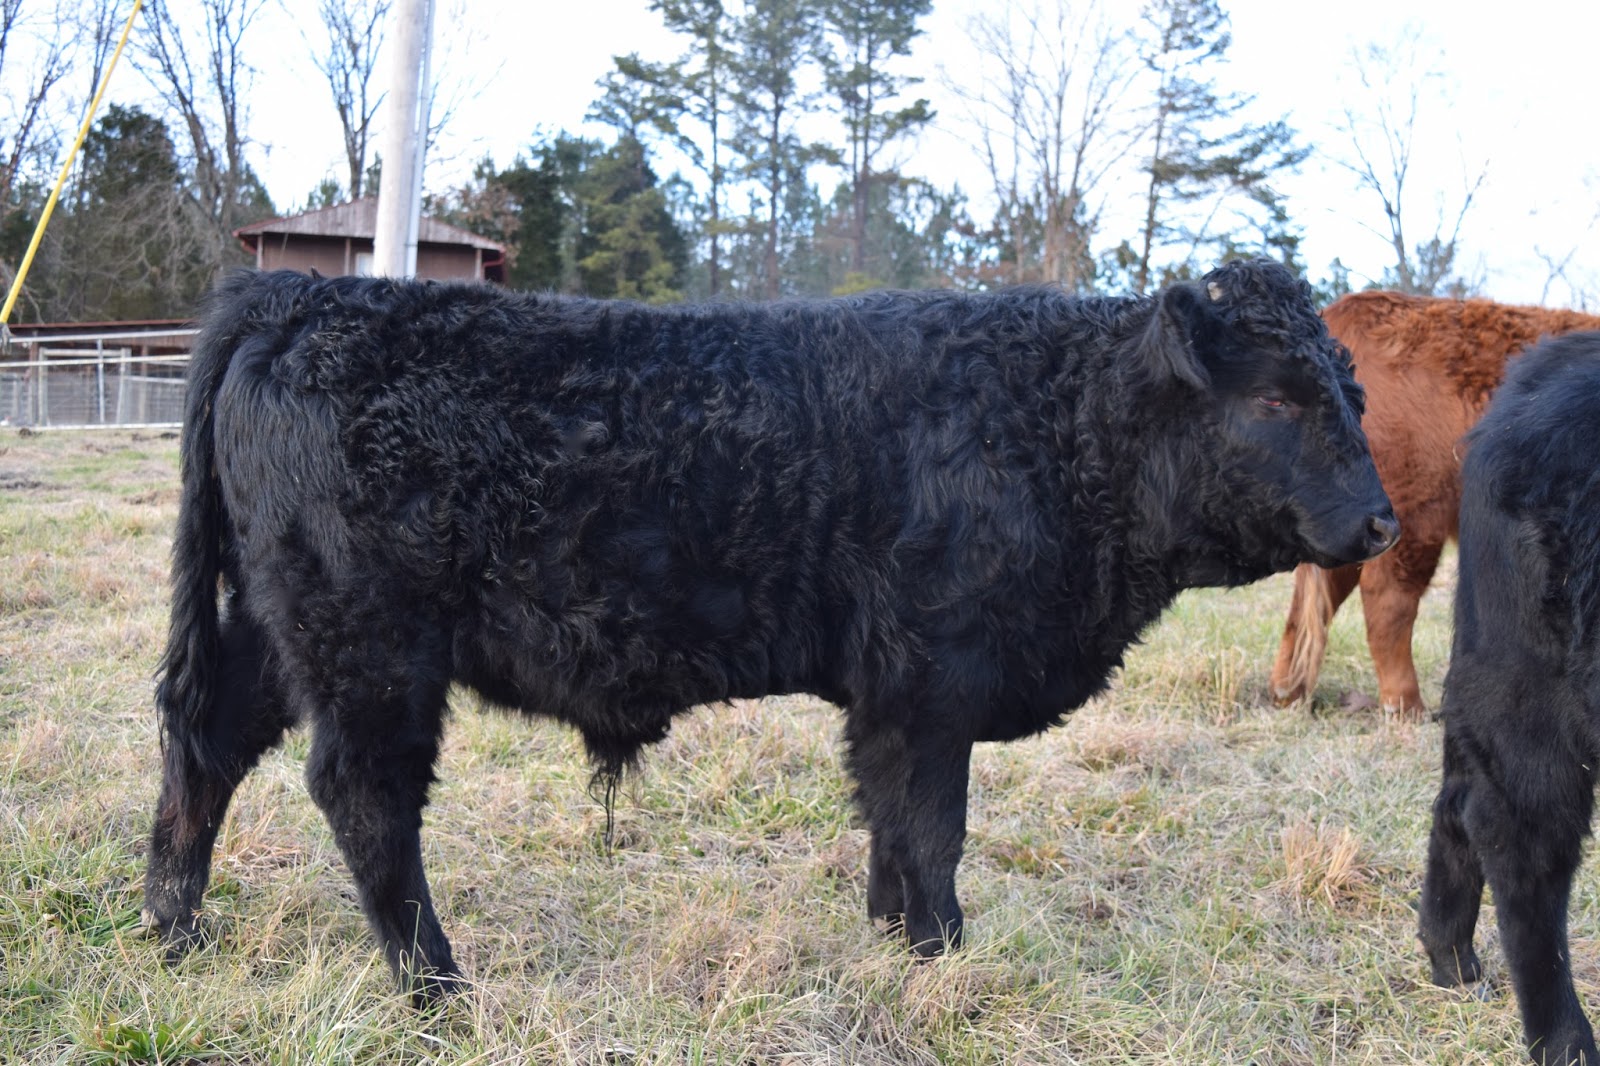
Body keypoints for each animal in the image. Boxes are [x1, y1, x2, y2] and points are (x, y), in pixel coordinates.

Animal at [141, 259, 1396, 1002]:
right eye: (1275, 397)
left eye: (1353, 392)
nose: (1381, 519)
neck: (1052, 421)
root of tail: (296, 294)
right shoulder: (931, 682)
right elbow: (932, 829)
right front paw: (945, 960)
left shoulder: (891, 698)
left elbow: (891, 827)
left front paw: (897, 945)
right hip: (370, 645)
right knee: (363, 794)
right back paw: (434, 985)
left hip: (273, 631)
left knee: (204, 746)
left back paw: (173, 931)